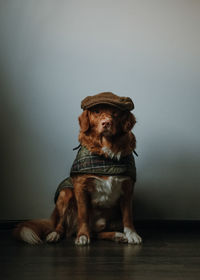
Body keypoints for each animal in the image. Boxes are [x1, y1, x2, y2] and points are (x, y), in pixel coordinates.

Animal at [14, 94, 141, 245]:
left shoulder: (127, 188)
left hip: (112, 220)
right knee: (62, 225)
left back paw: (117, 235)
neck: (106, 154)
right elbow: (83, 214)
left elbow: (128, 215)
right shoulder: (81, 186)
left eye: (115, 112)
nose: (106, 123)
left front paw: (132, 234)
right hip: (65, 193)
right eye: (97, 111)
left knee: (96, 233)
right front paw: (83, 235)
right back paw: (55, 234)